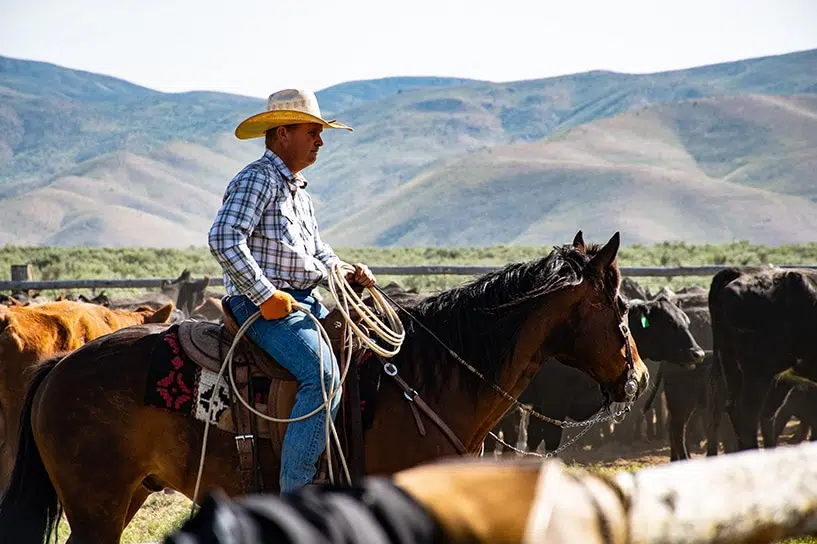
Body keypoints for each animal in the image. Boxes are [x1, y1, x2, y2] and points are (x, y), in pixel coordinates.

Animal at [1, 231, 652, 544]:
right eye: (621, 309)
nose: (639, 377)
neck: (425, 380)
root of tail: (60, 367)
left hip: (125, 495)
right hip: (96, 506)